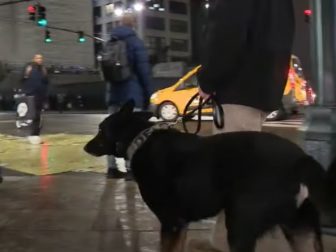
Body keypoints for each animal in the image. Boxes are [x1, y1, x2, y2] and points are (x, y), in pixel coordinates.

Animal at [84, 101, 336, 252]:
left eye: (100, 129)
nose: (86, 147)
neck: (140, 139)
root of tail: (301, 159)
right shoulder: (180, 226)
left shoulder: (170, 223)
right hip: (299, 229)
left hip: (240, 225)